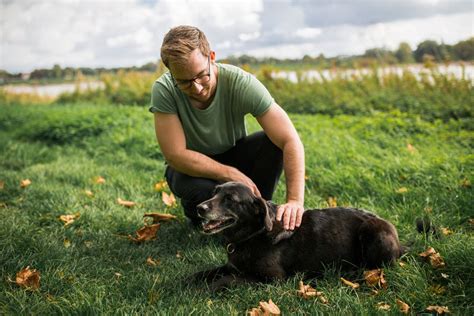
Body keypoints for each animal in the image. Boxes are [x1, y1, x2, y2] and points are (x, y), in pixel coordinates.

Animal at [194, 181, 402, 290]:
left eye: (230, 199)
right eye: (214, 193)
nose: (199, 208)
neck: (254, 234)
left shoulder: (272, 279)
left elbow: (226, 280)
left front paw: (204, 289)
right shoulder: (231, 266)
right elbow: (203, 273)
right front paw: (190, 282)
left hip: (372, 230)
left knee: (377, 267)